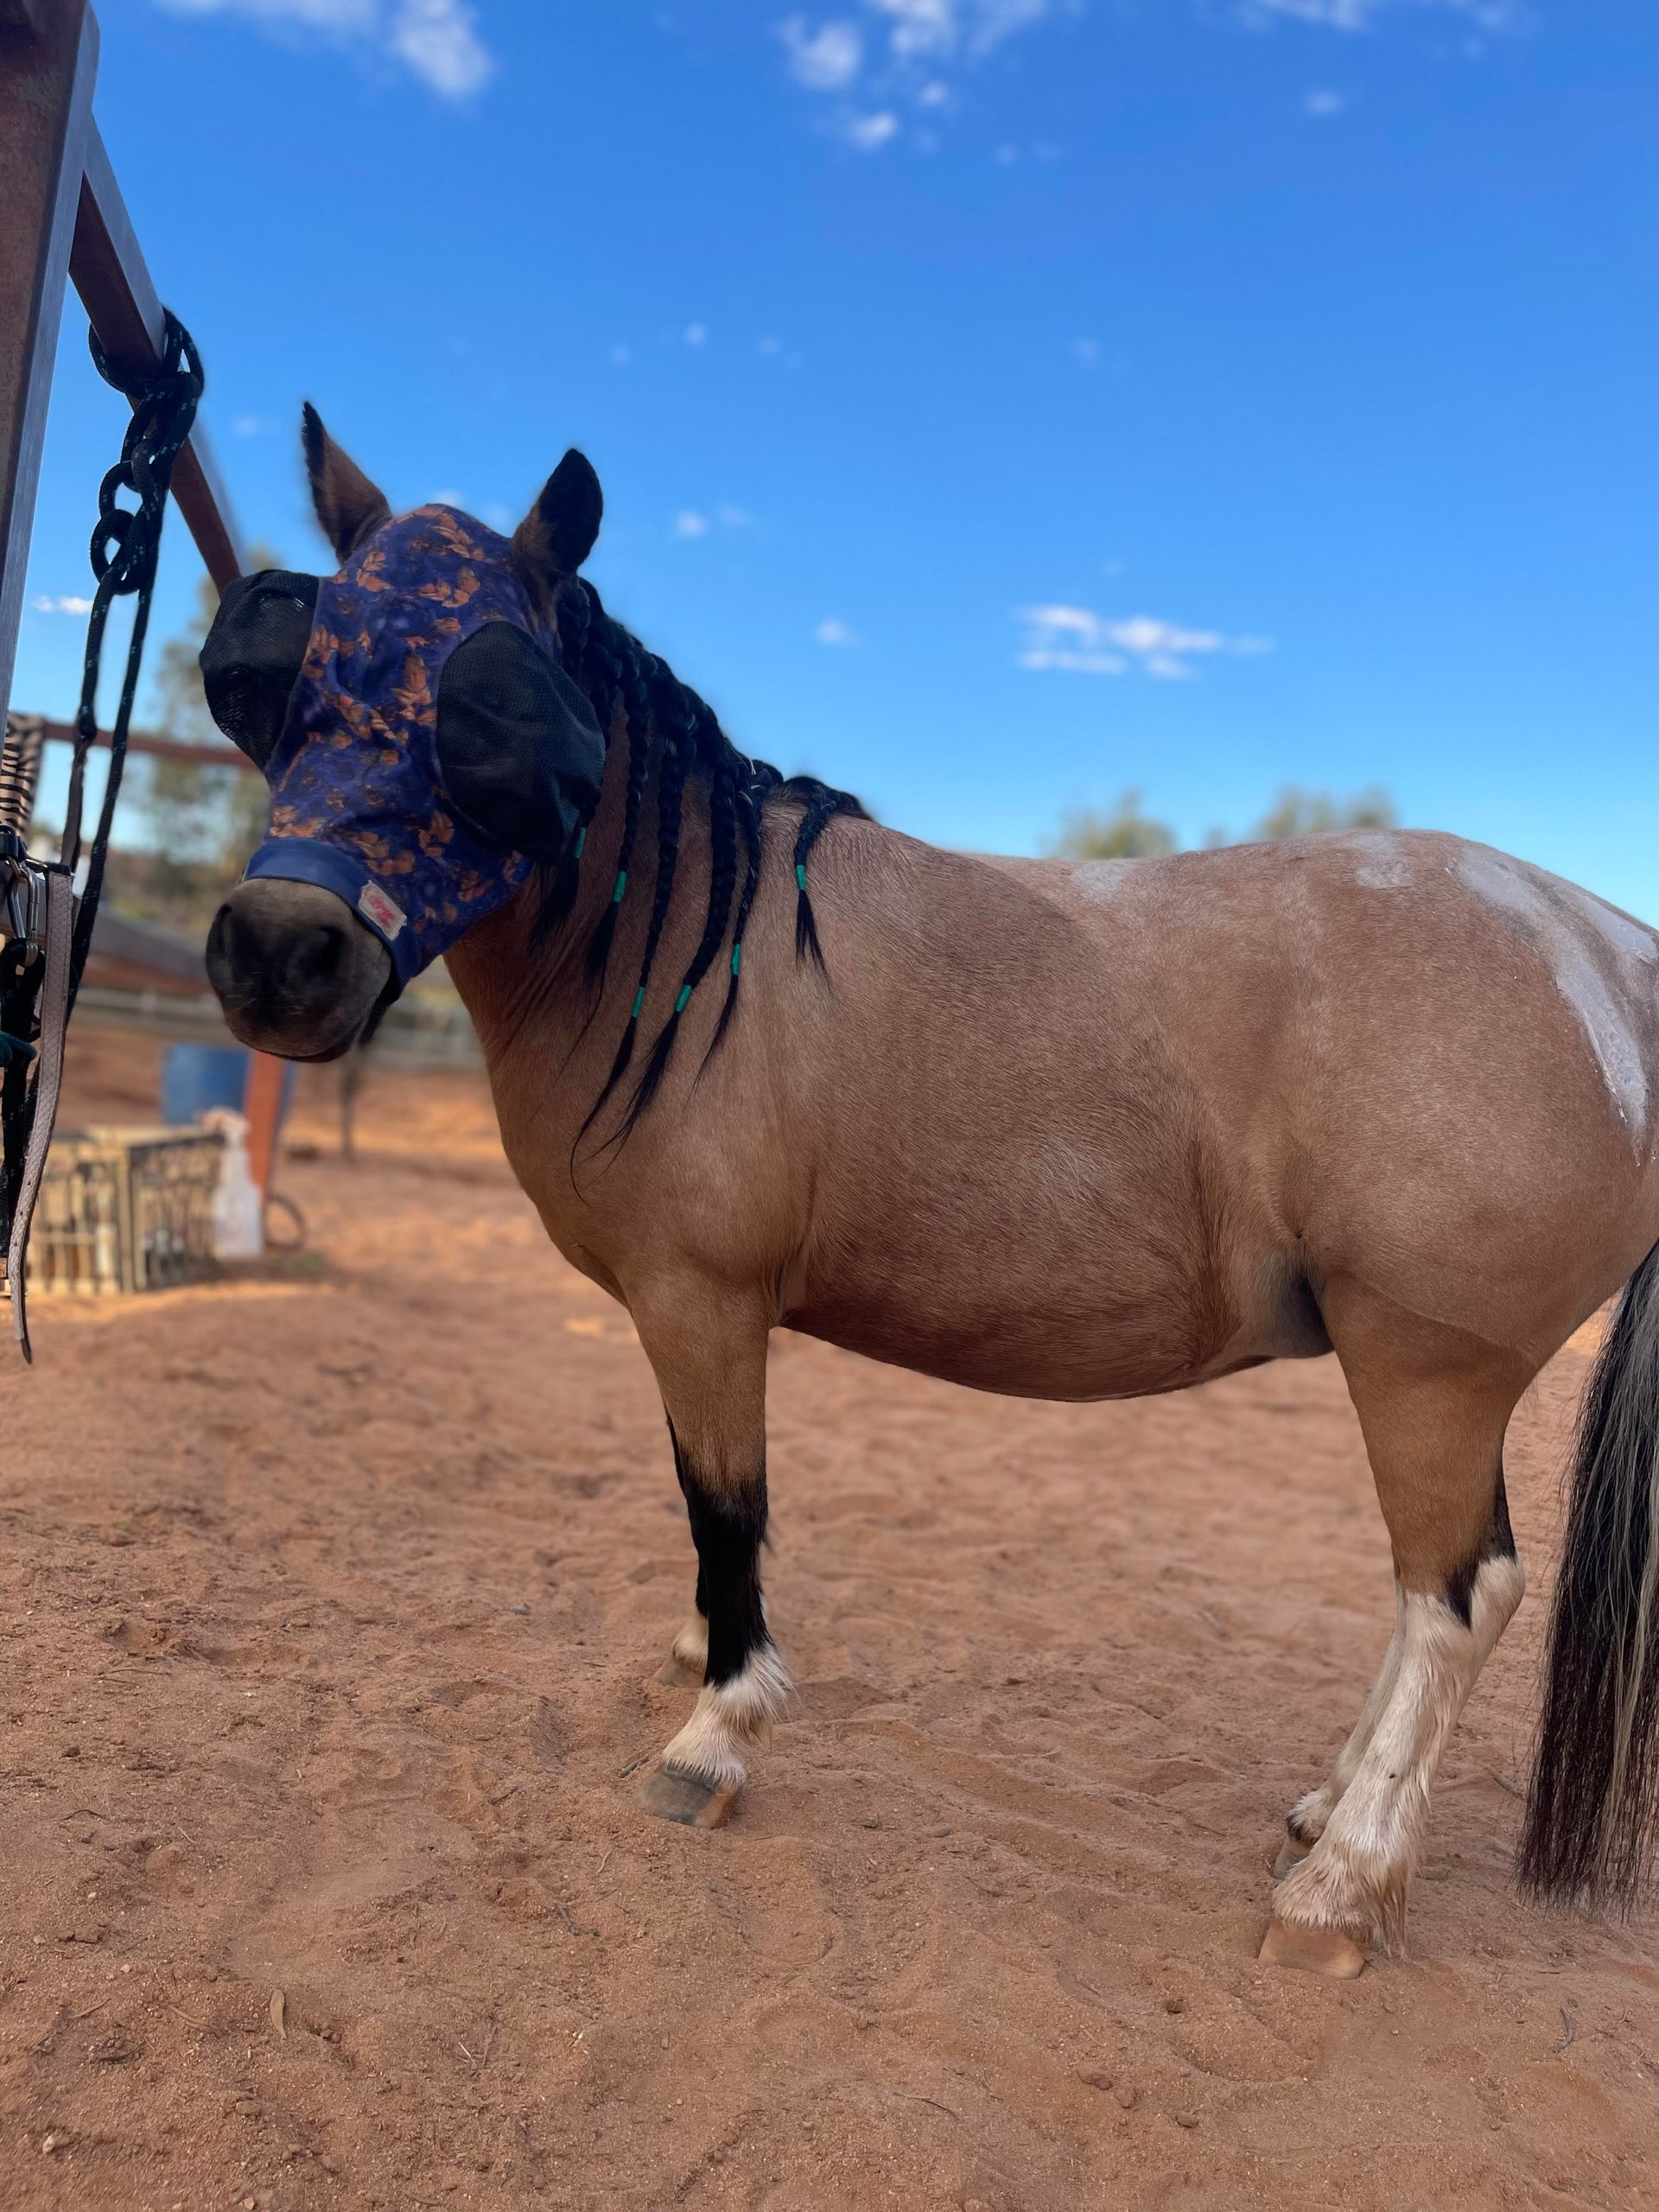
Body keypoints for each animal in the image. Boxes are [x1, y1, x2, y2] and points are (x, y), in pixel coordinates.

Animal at [200, 408, 1659, 1978]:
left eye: (491, 710)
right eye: (281, 678)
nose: (279, 951)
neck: (699, 944)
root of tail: (1606, 950)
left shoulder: (700, 1299)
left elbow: (726, 1508)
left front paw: (715, 1731)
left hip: (1429, 1370)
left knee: (1460, 1598)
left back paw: (1340, 1888)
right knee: (1429, 1598)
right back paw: (1328, 1815)